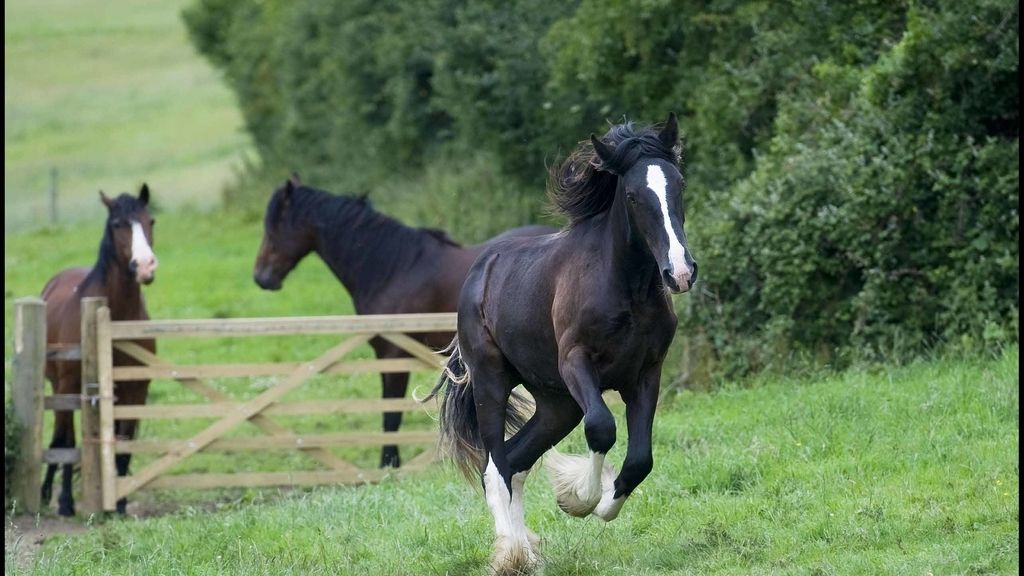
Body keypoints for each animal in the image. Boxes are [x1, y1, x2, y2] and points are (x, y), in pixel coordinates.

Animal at [40, 185, 158, 516]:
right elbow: (69, 444)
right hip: (60, 388)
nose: (145, 266)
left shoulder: (135, 391)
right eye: (117, 224)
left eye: (150, 221)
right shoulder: (71, 388)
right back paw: (48, 493)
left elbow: (124, 445)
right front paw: (66, 503)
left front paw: (119, 505)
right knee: (61, 439)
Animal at [252, 176, 555, 468]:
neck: (395, 268)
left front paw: (389, 464)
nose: (261, 277)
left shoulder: (394, 354)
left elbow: (391, 415)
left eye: (274, 226)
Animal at [426, 113, 698, 574]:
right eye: (632, 195)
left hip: (557, 404)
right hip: (492, 382)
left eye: (678, 184)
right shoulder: (576, 363)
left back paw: (527, 551)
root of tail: (479, 272)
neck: (626, 288)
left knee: (515, 461)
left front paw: (596, 500)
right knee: (494, 466)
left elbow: (640, 460)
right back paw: (511, 555)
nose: (680, 272)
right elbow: (602, 427)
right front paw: (578, 499)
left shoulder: (646, 374)